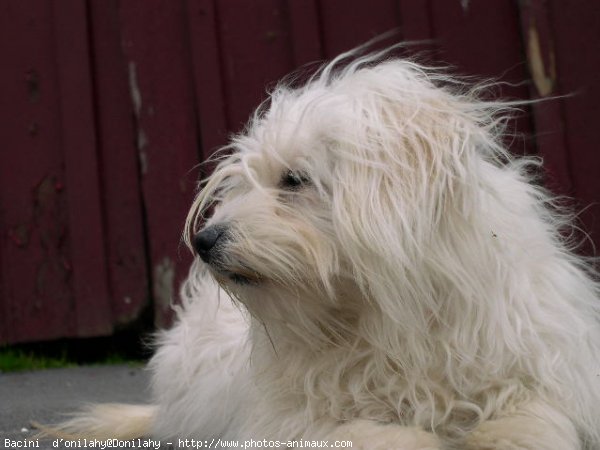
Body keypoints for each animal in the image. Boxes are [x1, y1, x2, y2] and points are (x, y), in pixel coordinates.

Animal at [50, 47, 600, 448]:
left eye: (294, 180)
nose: (205, 241)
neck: (385, 318)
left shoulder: (545, 379)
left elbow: (530, 422)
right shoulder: (288, 421)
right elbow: (375, 435)